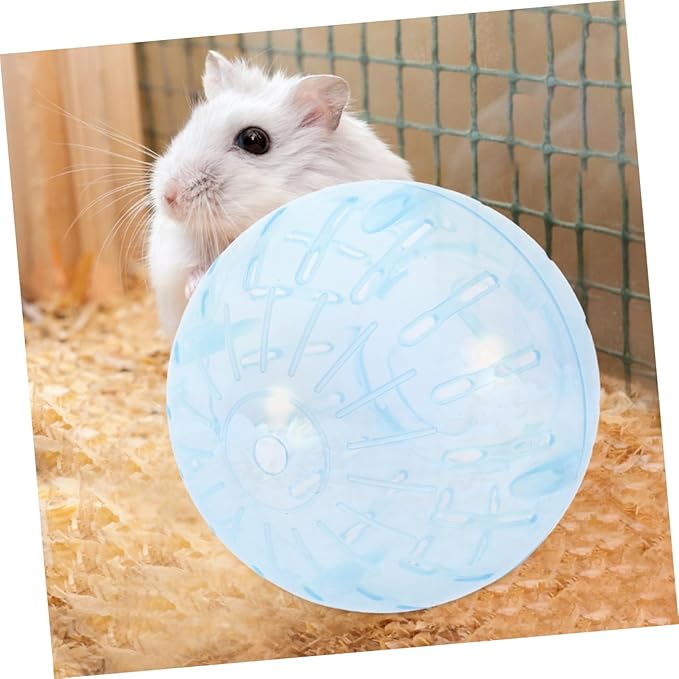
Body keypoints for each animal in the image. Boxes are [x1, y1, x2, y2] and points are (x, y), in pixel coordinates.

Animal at [147, 50, 413, 338]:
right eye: (191, 124)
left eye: (254, 140)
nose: (169, 197)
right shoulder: (177, 255)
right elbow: (189, 270)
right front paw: (197, 287)